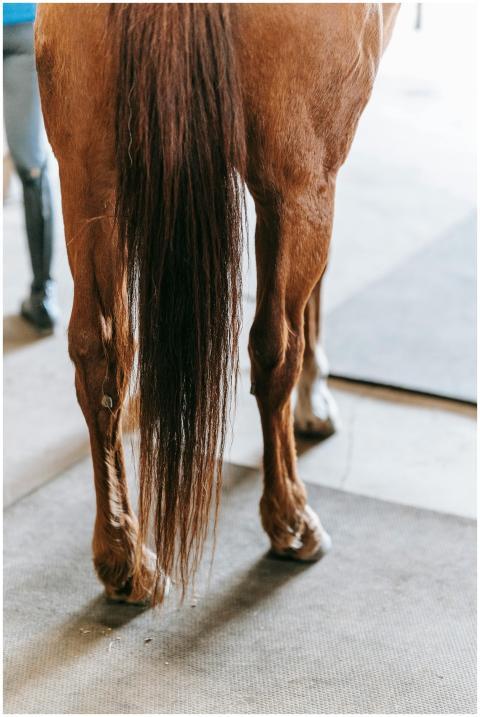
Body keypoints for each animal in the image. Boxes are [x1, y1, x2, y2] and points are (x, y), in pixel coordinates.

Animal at [34, 3, 399, 605]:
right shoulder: (321, 175)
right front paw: (314, 400)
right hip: (299, 186)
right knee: (275, 347)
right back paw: (291, 521)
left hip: (88, 177)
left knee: (100, 355)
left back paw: (125, 558)